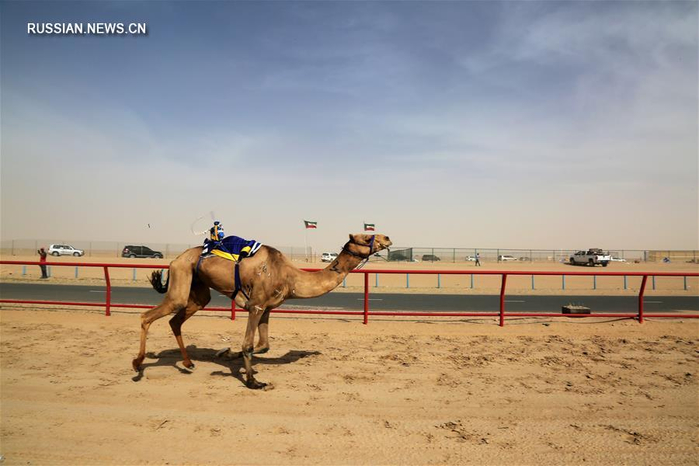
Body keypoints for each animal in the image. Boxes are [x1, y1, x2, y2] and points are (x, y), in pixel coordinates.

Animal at [132, 233, 394, 390]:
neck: (290, 277)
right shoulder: (255, 306)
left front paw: (226, 354)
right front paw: (252, 381)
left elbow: (263, 345)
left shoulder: (267, 308)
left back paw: (188, 363)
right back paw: (137, 365)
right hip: (181, 276)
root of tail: (175, 259)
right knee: (149, 315)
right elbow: (248, 344)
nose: (387, 238)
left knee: (176, 320)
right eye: (367, 235)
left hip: (198, 289)